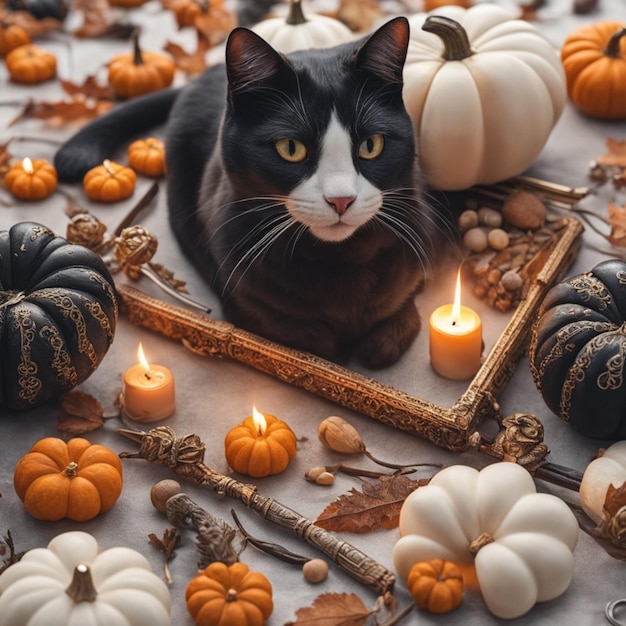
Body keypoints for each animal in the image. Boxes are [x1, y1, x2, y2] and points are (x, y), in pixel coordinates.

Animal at [56, 17, 446, 368]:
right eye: (291, 148)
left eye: (371, 145)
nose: (341, 199)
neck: (339, 261)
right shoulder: (242, 296)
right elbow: (305, 338)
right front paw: (331, 342)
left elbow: (402, 306)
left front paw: (382, 335)